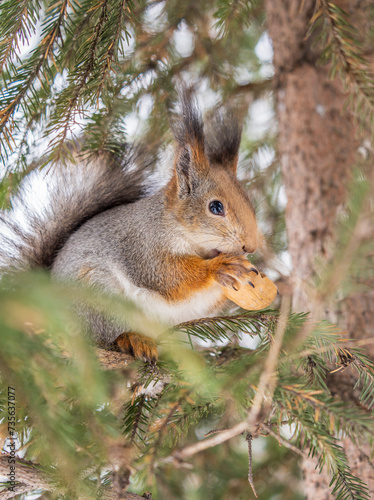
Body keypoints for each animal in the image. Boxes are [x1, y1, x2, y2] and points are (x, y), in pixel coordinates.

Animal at [0, 93, 258, 360]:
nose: (251, 246)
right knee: (103, 337)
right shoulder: (144, 246)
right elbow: (169, 277)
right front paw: (221, 267)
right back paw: (133, 339)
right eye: (215, 207)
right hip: (99, 296)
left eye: (249, 200)